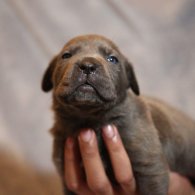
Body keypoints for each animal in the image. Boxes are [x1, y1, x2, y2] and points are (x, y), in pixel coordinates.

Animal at [41, 35, 195, 195]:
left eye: (112, 59)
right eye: (66, 55)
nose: (88, 65)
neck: (90, 117)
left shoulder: (150, 167)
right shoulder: (69, 180)